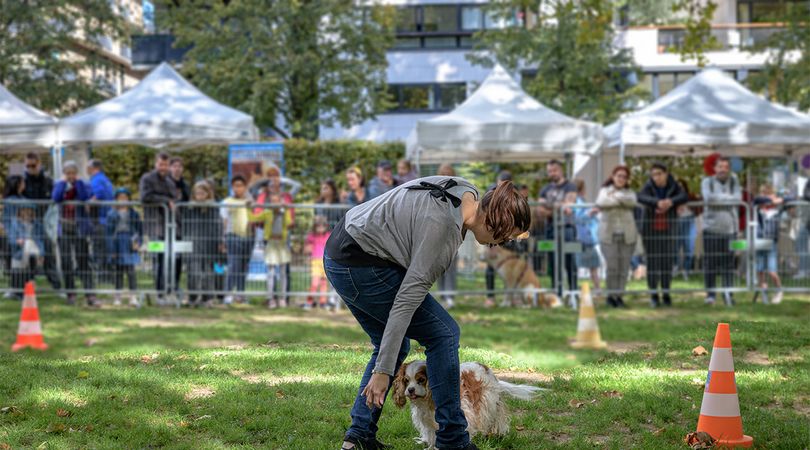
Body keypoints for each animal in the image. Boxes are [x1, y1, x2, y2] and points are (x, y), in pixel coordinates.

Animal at [392, 360, 544, 448]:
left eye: (421, 380)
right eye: (406, 380)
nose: (410, 390)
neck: (428, 401)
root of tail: (487, 369)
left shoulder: (465, 414)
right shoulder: (428, 421)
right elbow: (432, 434)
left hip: (487, 402)